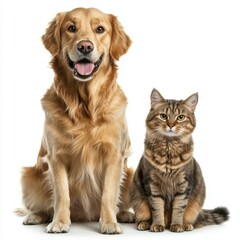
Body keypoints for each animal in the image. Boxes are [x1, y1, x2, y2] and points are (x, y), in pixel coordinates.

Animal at [18, 7, 135, 234]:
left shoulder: (114, 155)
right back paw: (35, 216)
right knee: (43, 206)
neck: (85, 106)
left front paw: (109, 223)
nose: (85, 46)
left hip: (131, 174)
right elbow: (62, 194)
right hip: (29, 176)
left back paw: (124, 215)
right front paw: (60, 222)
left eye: (100, 29)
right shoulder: (56, 157)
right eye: (71, 28)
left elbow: (109, 194)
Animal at [130, 88, 230, 232]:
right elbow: (157, 208)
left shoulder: (184, 185)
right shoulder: (152, 184)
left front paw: (177, 225)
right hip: (138, 199)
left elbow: (178, 209)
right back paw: (144, 223)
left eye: (180, 117)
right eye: (163, 116)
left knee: (193, 219)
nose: (171, 125)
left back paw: (187, 225)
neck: (169, 150)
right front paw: (157, 224)